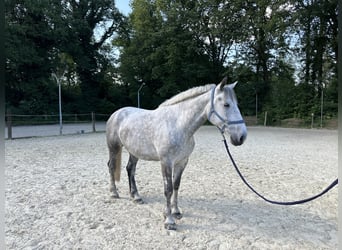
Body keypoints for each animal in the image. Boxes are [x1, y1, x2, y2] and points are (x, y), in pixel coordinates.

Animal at [105, 77, 247, 229]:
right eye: (226, 104)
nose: (241, 137)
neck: (179, 124)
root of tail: (117, 113)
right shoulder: (166, 162)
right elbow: (168, 189)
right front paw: (169, 220)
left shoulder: (182, 161)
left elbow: (176, 185)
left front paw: (176, 211)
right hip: (113, 147)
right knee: (111, 166)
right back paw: (114, 193)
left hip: (134, 151)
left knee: (130, 169)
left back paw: (136, 196)